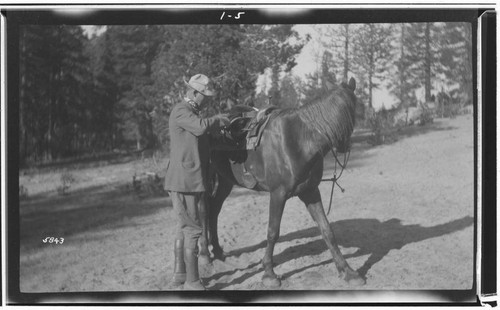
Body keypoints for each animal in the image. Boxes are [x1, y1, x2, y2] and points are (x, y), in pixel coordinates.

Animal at [201, 78, 366, 288]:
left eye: (353, 105)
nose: (344, 144)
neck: (299, 141)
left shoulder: (310, 192)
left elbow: (327, 230)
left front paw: (347, 271)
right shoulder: (278, 194)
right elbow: (273, 232)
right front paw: (269, 274)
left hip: (225, 181)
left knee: (214, 209)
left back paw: (218, 251)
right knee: (204, 210)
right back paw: (205, 255)